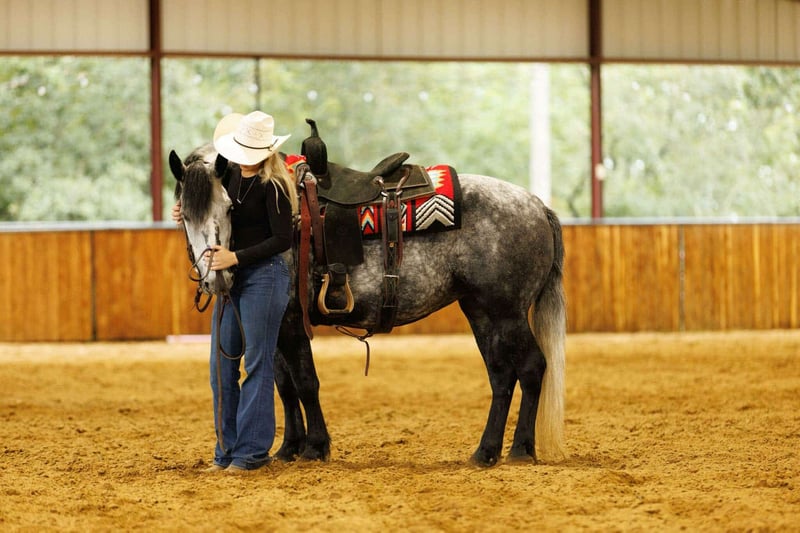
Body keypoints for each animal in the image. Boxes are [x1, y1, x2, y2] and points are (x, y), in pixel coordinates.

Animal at [169, 132, 567, 468]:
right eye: (184, 214)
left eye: (229, 207)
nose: (217, 277)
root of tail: (537, 206)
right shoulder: (276, 325)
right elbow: (284, 385)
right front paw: (288, 448)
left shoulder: (292, 322)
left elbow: (305, 382)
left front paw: (315, 447)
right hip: (482, 312)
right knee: (501, 376)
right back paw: (486, 452)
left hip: (508, 313)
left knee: (531, 368)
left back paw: (520, 449)